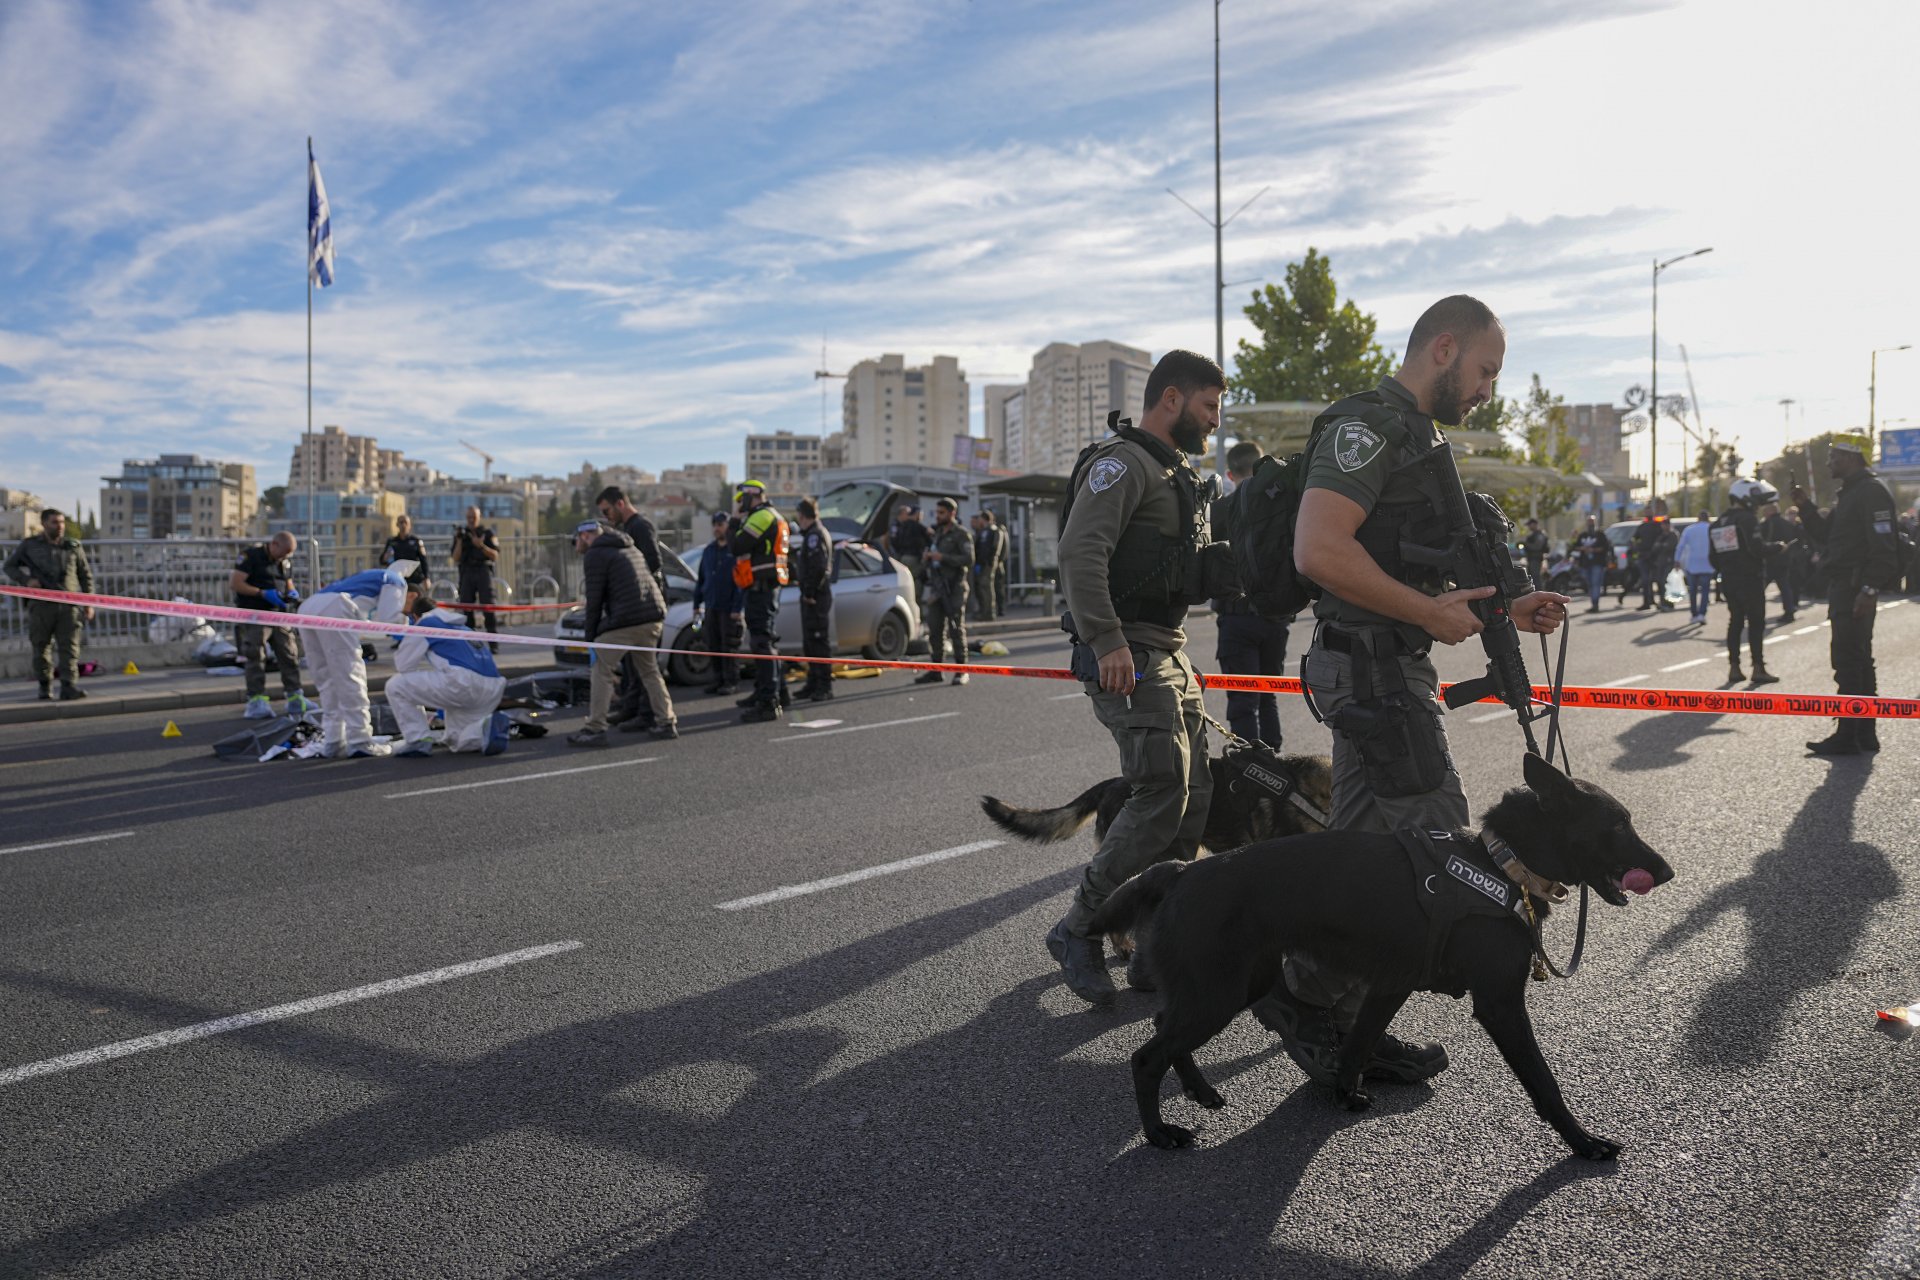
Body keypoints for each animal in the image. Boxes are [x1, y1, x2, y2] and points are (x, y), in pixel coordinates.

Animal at [1090, 756, 1674, 1166]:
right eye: (1618, 825)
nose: (1667, 872)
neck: (1498, 864)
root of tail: (1180, 872)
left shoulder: (1390, 985)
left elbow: (1357, 1043)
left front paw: (1345, 1095)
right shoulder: (1500, 1004)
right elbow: (1544, 1081)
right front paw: (1582, 1142)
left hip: (1230, 987)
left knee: (1165, 1027)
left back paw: (1200, 1090)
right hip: (1220, 993)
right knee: (1147, 1056)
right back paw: (1159, 1133)